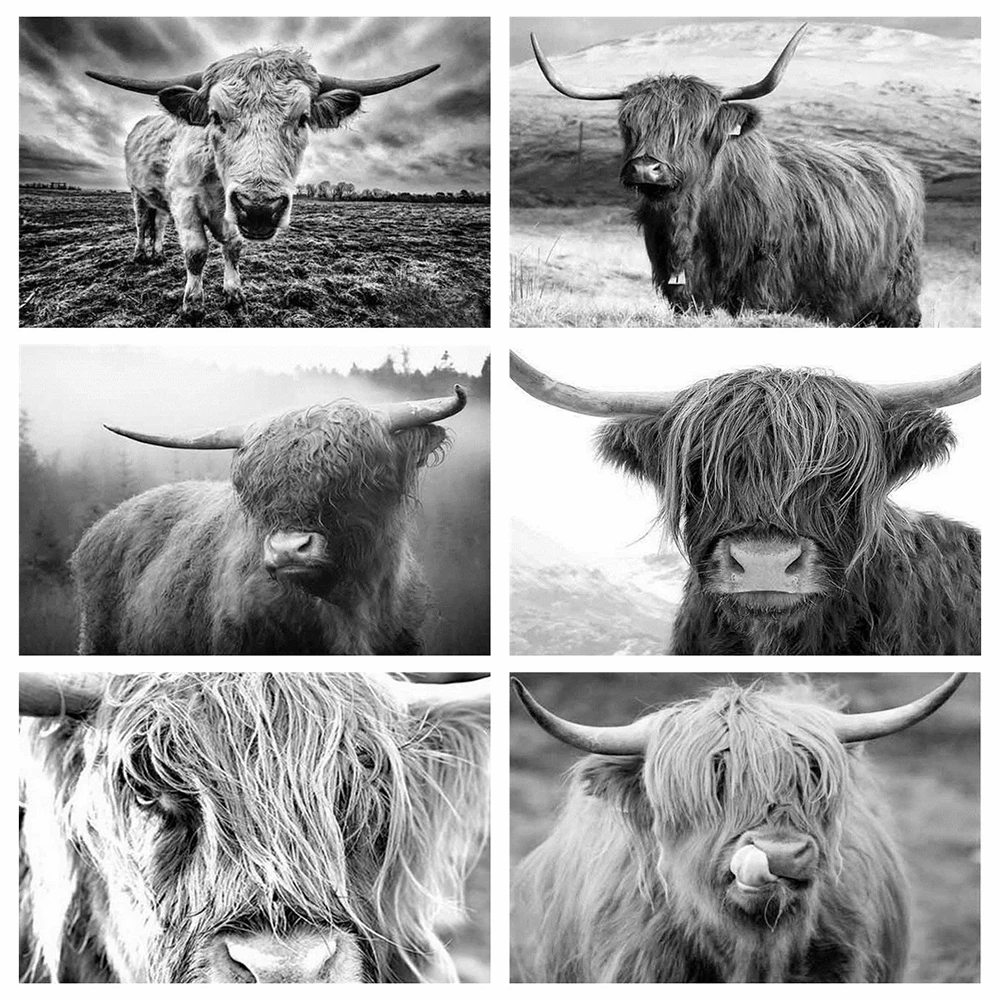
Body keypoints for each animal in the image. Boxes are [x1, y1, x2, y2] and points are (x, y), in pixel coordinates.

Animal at [87, 46, 439, 318]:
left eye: (303, 118)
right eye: (215, 116)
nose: (259, 208)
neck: (216, 183)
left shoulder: (228, 217)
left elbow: (233, 248)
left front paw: (233, 294)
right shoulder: (184, 202)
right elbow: (196, 253)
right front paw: (193, 304)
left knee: (157, 223)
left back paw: (156, 252)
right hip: (137, 192)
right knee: (141, 223)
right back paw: (139, 254)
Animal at [530, 24, 924, 326]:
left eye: (693, 129)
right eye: (629, 126)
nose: (645, 167)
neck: (690, 220)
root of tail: (897, 162)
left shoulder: (762, 287)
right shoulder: (682, 289)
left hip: (897, 296)